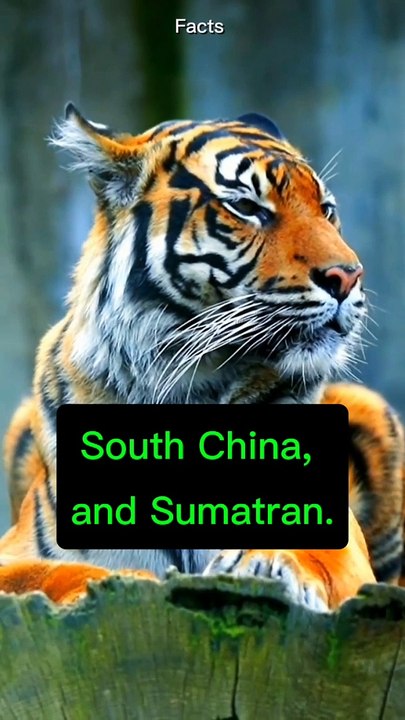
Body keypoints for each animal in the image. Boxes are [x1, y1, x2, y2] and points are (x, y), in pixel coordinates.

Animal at [1, 104, 404, 611]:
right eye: (247, 207)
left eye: (327, 211)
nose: (350, 277)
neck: (191, 385)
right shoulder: (15, 552)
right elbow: (45, 573)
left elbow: (317, 555)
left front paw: (270, 564)